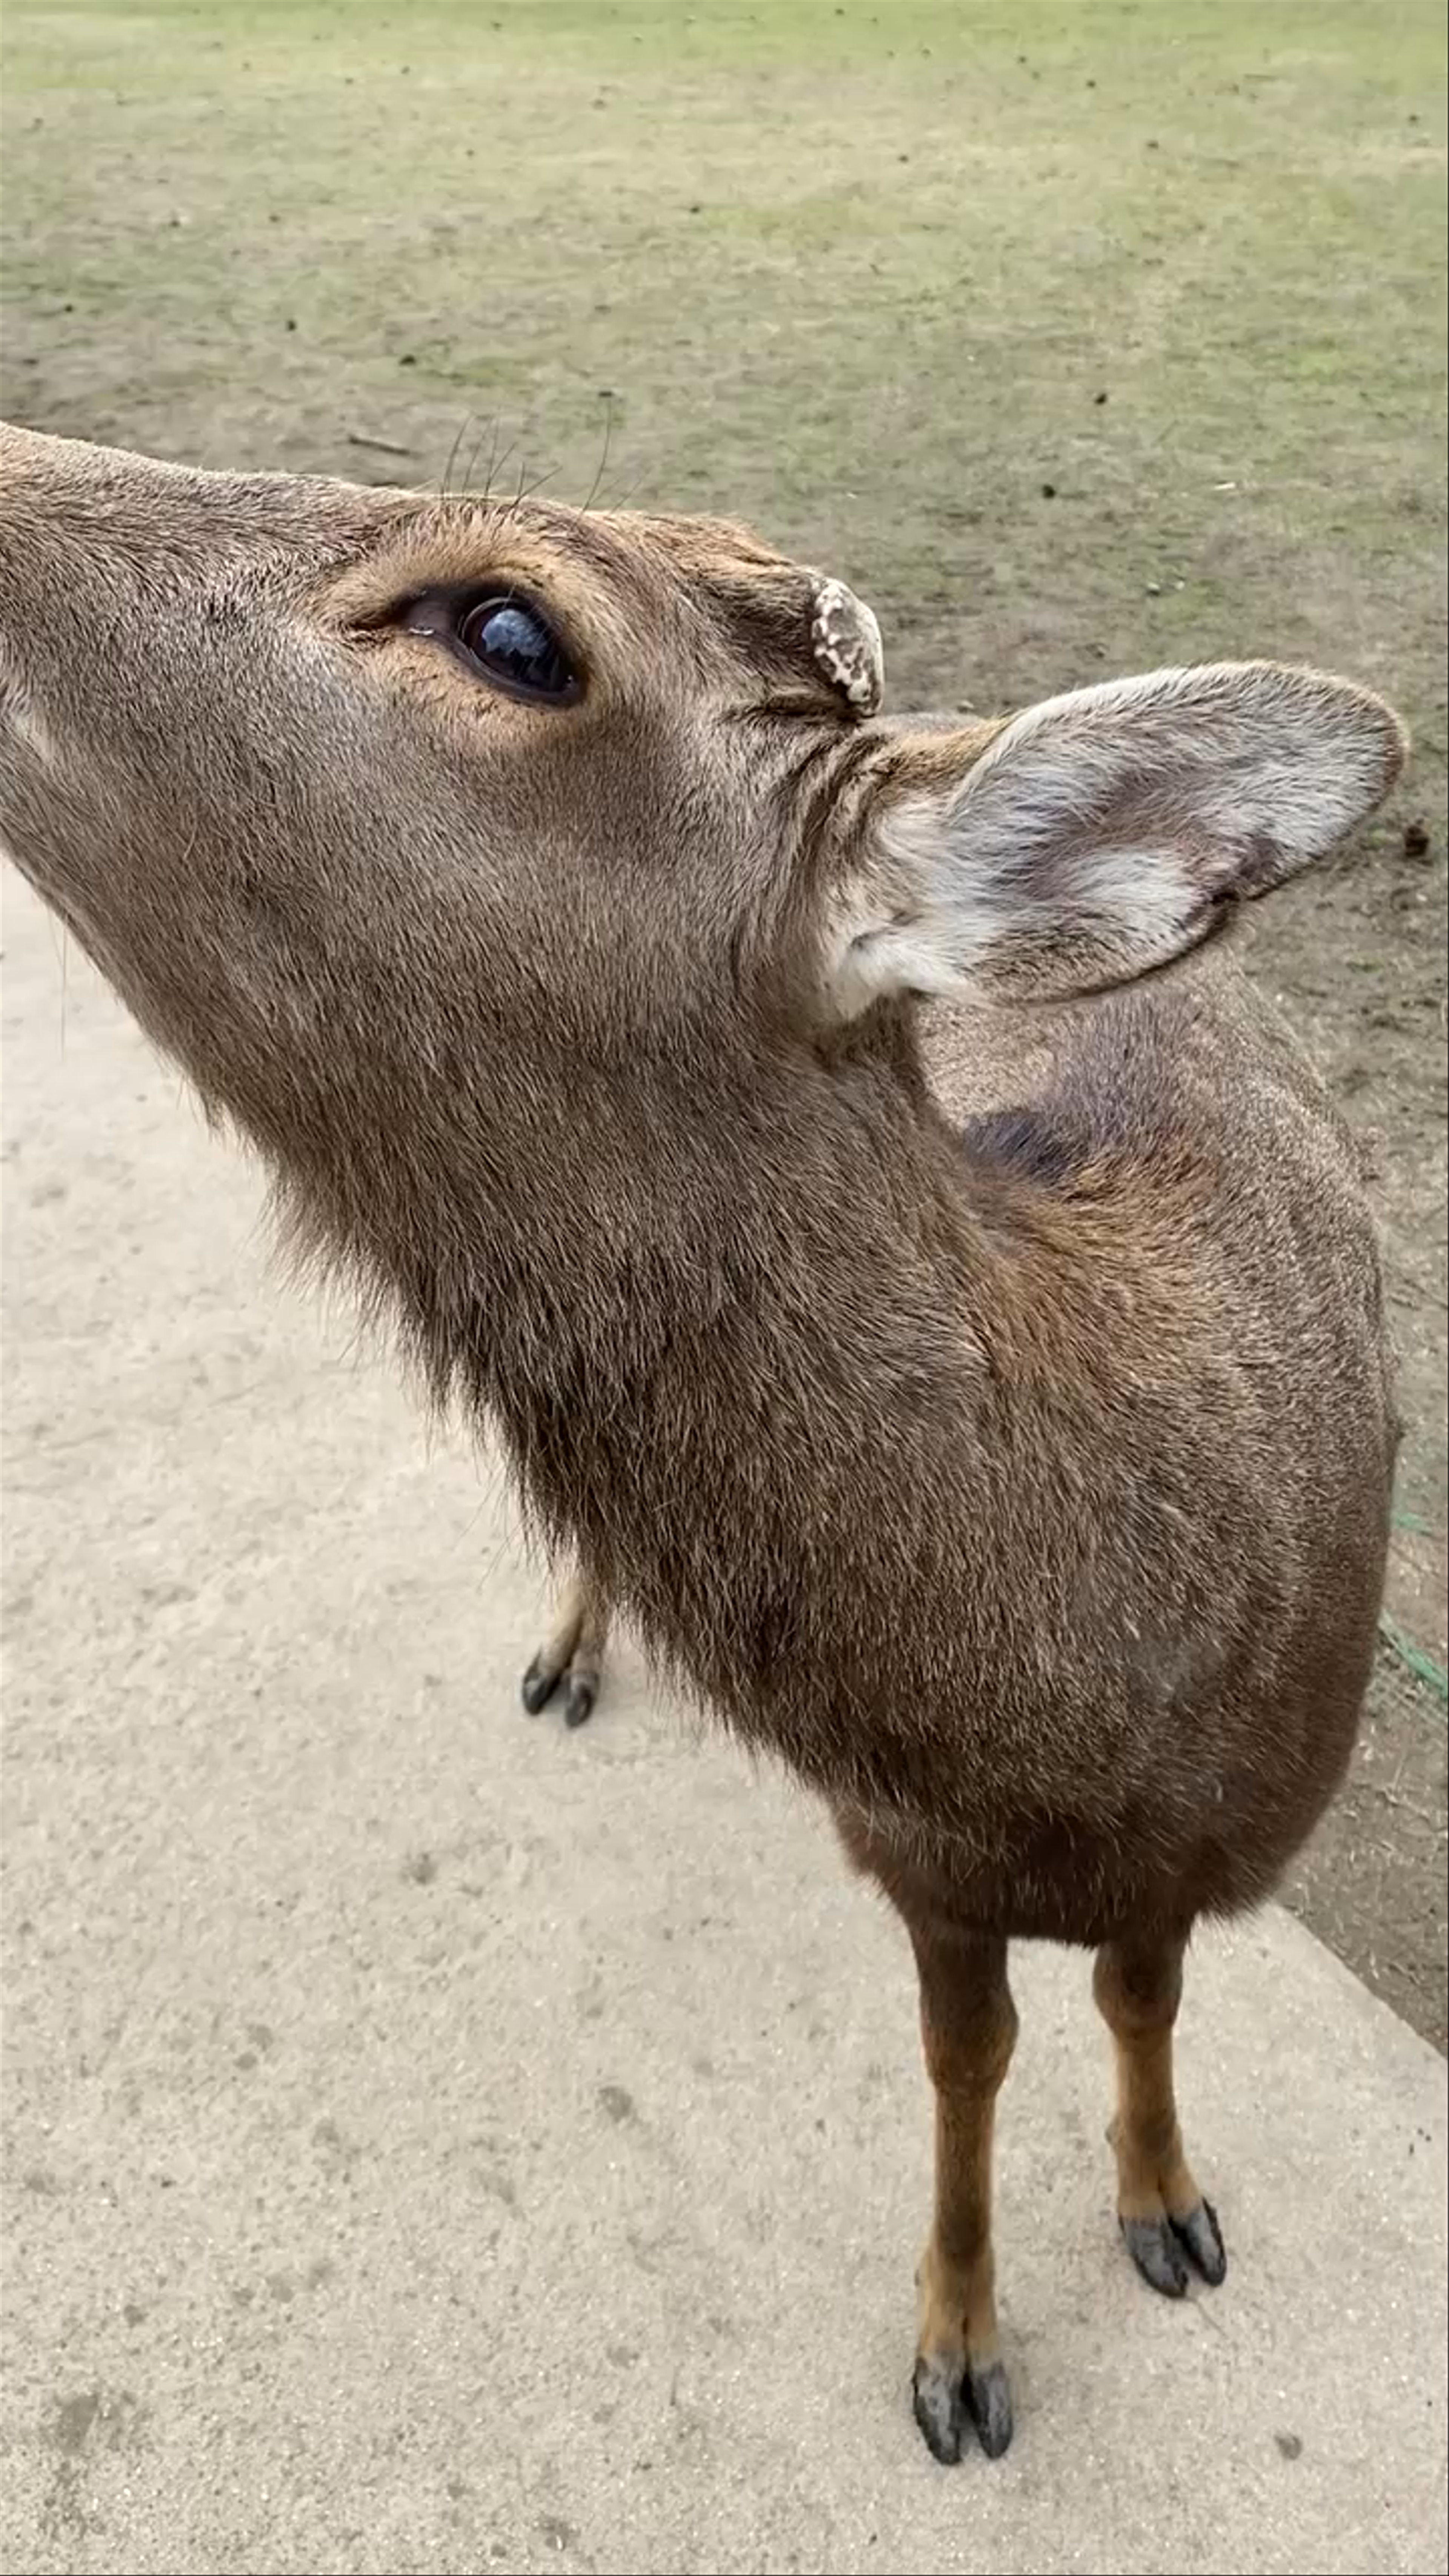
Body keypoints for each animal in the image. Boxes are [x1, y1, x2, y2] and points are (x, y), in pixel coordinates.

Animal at [0, 421, 1406, 2465]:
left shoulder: (1220, 1852)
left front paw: (1168, 2208)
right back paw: (573, 1649)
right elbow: (968, 2064)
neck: (1071, 1748)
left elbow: (1139, 2010)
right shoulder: (913, 1860)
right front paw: (959, 2355)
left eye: (514, 628)